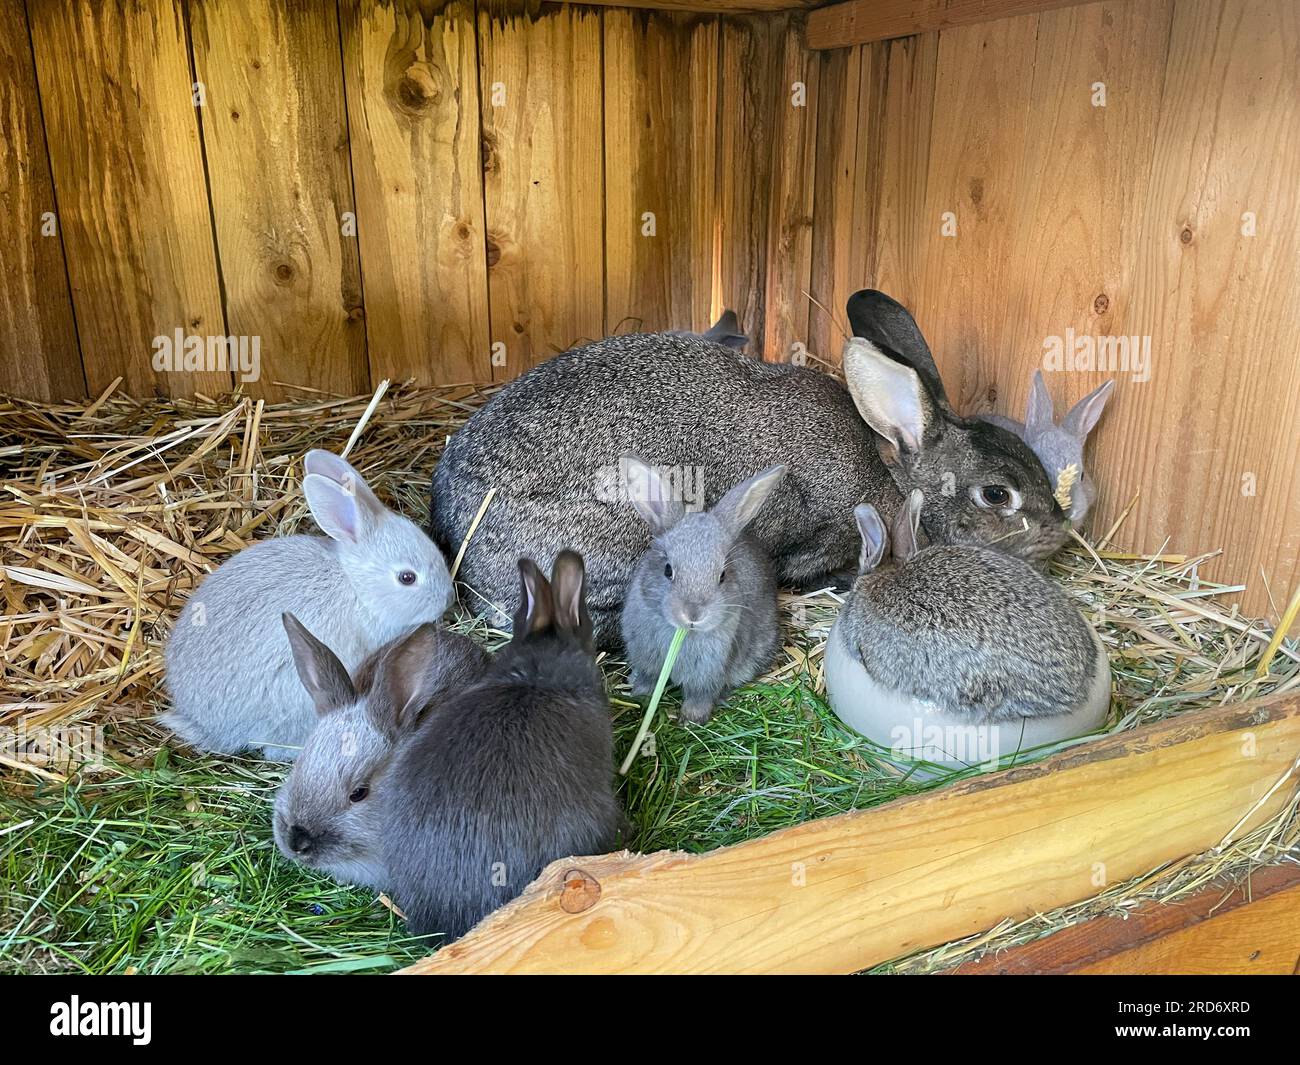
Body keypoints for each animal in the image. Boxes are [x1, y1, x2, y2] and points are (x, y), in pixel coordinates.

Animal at [620, 456, 785, 723]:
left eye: (722, 575)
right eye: (668, 570)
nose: (693, 614)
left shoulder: (709, 673)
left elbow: (700, 698)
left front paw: (690, 721)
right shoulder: (646, 660)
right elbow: (647, 682)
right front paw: (640, 699)